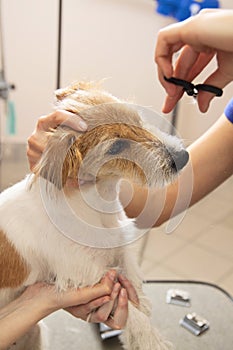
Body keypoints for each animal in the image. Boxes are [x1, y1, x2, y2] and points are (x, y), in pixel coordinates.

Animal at [0, 82, 189, 350]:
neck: (99, 202)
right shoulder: (91, 276)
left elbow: (131, 273)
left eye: (137, 118)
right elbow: (133, 314)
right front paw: (151, 339)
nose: (183, 157)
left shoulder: (120, 243)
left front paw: (142, 301)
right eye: (116, 147)